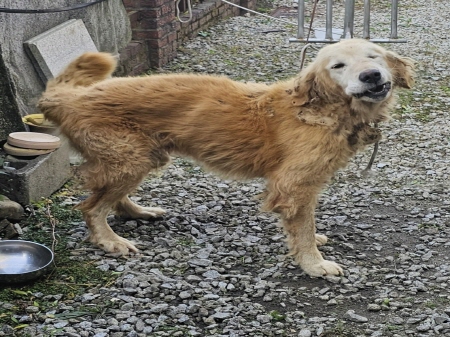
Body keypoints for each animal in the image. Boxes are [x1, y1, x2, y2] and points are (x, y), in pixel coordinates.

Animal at [38, 38, 414, 276]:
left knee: (110, 199)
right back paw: (111, 242)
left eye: (374, 56)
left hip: (141, 158)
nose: (371, 76)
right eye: (338, 65)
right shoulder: (293, 185)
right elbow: (303, 229)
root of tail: (68, 97)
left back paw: (139, 211)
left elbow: (304, 226)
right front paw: (314, 264)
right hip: (129, 159)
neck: (320, 109)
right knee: (91, 207)